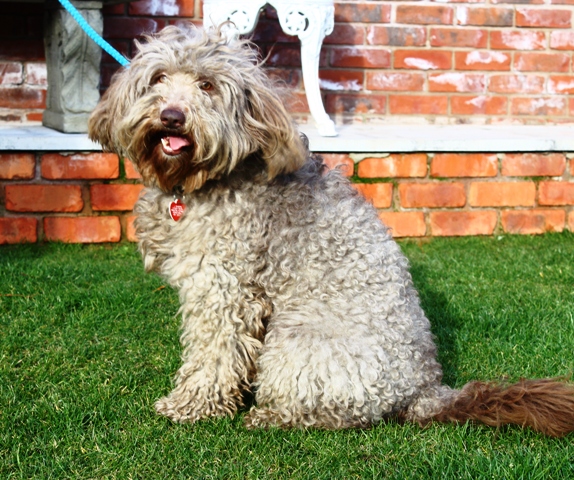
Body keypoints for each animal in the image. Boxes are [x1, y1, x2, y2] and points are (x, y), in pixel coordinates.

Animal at [86, 23, 574, 436]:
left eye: (206, 85)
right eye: (158, 79)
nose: (171, 116)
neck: (200, 180)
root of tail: (424, 388)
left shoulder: (222, 288)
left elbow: (213, 354)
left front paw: (190, 405)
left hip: (297, 340)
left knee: (330, 411)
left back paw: (268, 416)